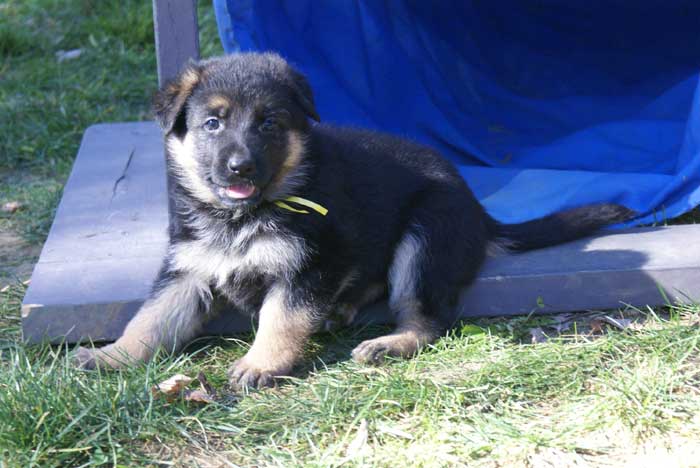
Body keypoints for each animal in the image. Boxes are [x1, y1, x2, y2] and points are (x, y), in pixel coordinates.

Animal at [75, 53, 636, 390]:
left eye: (269, 124)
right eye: (212, 123)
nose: (240, 167)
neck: (243, 215)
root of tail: (479, 211)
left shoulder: (308, 268)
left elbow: (280, 319)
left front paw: (261, 363)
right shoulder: (188, 271)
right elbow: (149, 320)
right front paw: (113, 356)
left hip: (423, 238)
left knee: (428, 320)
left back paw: (389, 343)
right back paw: (343, 310)